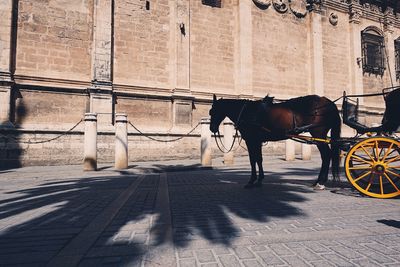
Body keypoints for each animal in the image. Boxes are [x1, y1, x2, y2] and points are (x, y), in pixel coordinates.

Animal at [209, 93, 340, 189]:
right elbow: (259, 159)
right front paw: (259, 180)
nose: (212, 128)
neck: (248, 112)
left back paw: (320, 182)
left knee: (326, 155)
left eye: (212, 111)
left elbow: (253, 160)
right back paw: (319, 181)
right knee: (326, 156)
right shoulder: (257, 141)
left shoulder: (252, 141)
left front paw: (252, 181)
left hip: (318, 134)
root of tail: (329, 103)